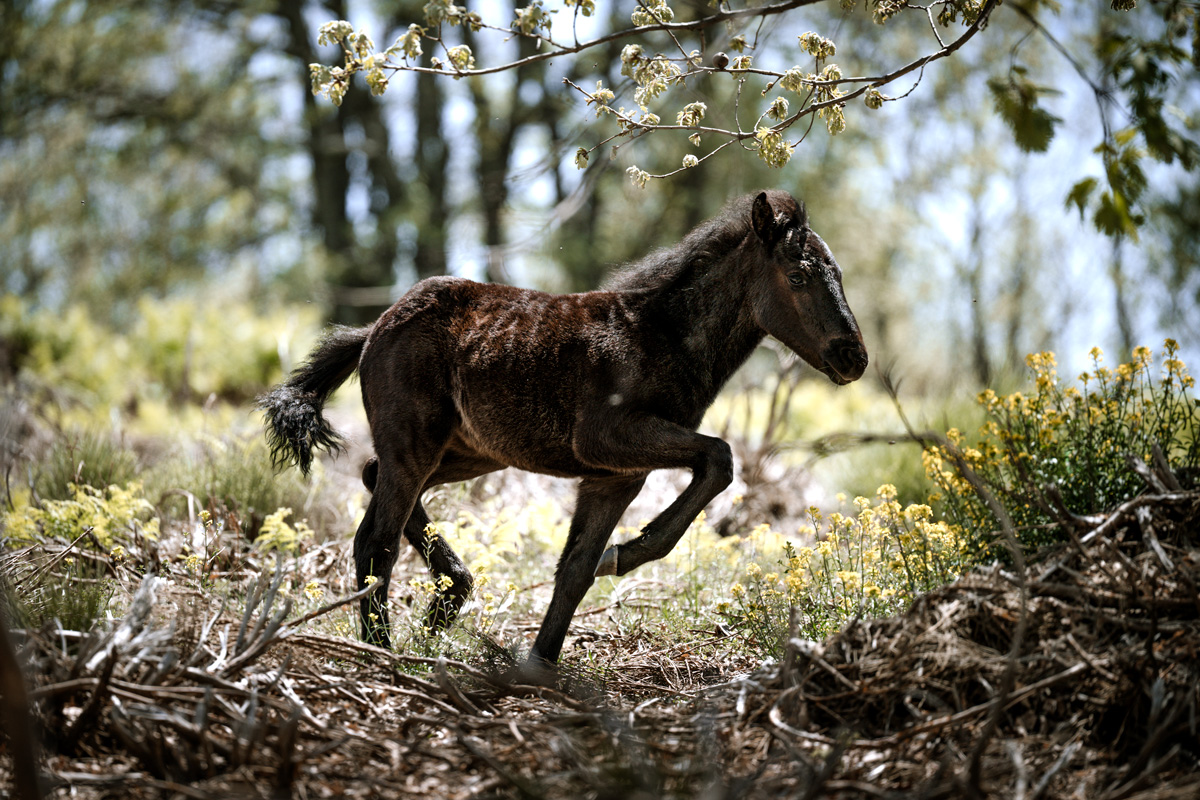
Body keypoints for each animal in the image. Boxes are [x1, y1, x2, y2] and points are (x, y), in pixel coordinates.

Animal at [260, 189, 868, 678]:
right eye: (798, 276)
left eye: (840, 274)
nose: (853, 357)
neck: (661, 336)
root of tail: (375, 326)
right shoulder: (607, 439)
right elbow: (720, 458)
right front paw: (621, 555)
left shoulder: (615, 476)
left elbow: (575, 569)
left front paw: (542, 661)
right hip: (418, 444)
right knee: (375, 541)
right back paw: (384, 650)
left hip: (470, 452)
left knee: (370, 477)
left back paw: (447, 600)